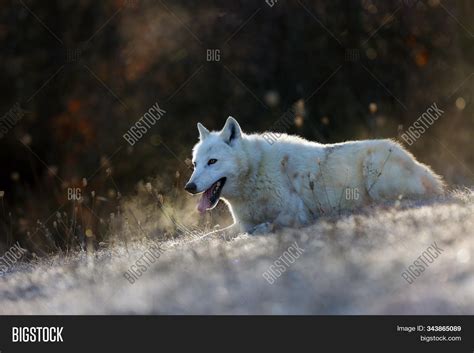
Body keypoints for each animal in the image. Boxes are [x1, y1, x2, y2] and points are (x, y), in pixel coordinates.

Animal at [185, 117, 444, 235]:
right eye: (195, 164)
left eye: (212, 162)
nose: (189, 187)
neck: (256, 173)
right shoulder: (240, 223)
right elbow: (210, 236)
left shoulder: (295, 214)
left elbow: (261, 227)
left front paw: (264, 228)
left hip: (374, 172)